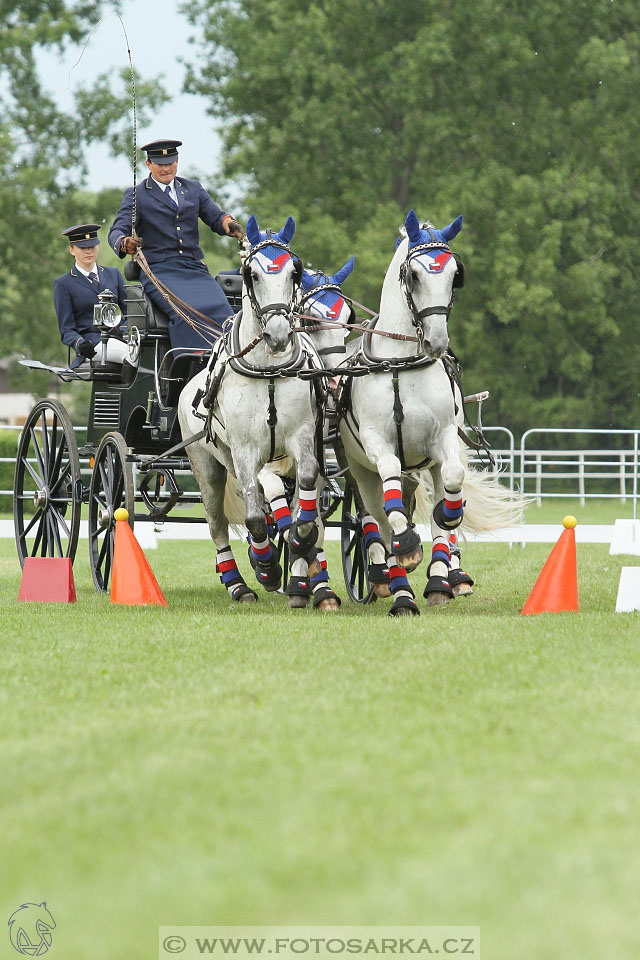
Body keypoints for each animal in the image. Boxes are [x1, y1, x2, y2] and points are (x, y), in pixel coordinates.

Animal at [178, 215, 342, 612]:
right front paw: (266, 565)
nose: (278, 334)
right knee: (217, 521)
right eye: (251, 273)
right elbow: (253, 515)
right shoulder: (244, 449)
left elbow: (306, 493)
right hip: (206, 463)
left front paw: (300, 541)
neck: (268, 370)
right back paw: (239, 584)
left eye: (294, 271)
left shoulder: (302, 439)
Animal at [338, 208, 516, 616]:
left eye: (454, 274)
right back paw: (397, 585)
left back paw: (441, 578)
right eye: (414, 275)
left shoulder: (442, 440)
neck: (401, 364)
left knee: (429, 504)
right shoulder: (376, 444)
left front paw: (444, 544)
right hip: (357, 471)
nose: (437, 342)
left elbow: (450, 486)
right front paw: (405, 549)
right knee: (376, 519)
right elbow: (390, 509)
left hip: (421, 467)